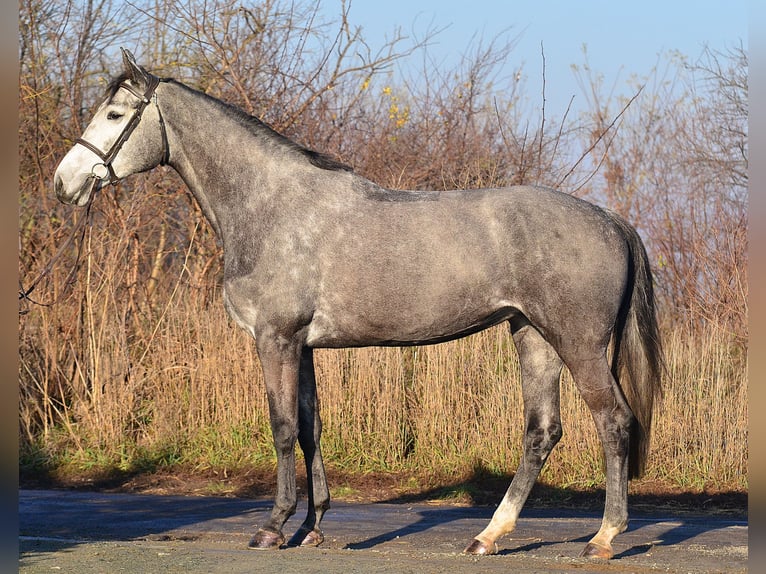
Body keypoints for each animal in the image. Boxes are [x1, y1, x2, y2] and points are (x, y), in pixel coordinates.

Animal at [55, 49, 664, 564]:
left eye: (115, 114)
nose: (65, 184)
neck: (269, 205)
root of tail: (612, 220)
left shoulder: (275, 338)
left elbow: (280, 427)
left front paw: (272, 528)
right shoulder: (302, 345)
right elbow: (310, 427)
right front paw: (311, 527)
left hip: (577, 343)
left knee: (613, 423)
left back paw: (603, 539)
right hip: (531, 335)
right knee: (541, 432)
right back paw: (488, 537)